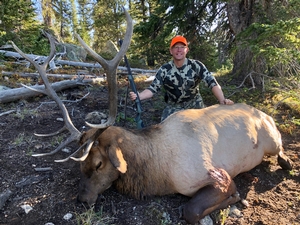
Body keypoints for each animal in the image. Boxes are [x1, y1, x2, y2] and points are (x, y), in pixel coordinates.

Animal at [11, 9, 292, 224]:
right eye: (81, 165)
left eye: (99, 164)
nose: (81, 200)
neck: (158, 172)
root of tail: (262, 112)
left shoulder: (216, 175)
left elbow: (192, 209)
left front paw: (235, 197)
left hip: (271, 137)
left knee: (280, 149)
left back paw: (286, 161)